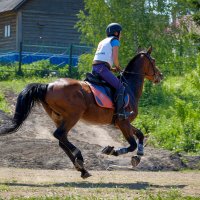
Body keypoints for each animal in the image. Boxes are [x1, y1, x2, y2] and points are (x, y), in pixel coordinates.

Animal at [0, 46, 162, 178]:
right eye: (153, 61)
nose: (161, 76)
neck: (129, 86)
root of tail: (48, 86)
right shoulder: (123, 122)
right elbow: (132, 144)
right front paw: (111, 151)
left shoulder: (121, 123)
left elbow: (140, 134)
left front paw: (138, 157)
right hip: (73, 116)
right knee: (59, 135)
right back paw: (80, 157)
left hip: (59, 118)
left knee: (62, 140)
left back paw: (82, 169)